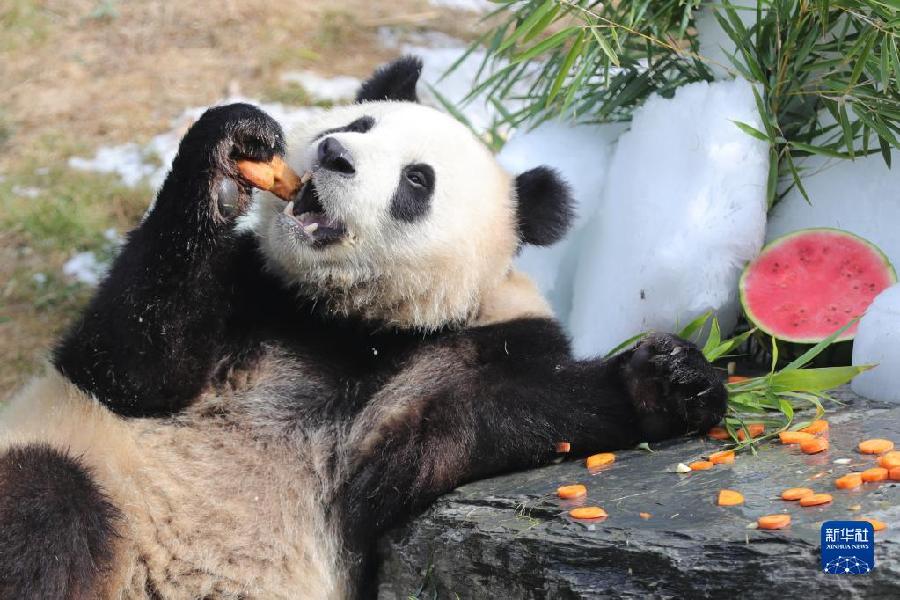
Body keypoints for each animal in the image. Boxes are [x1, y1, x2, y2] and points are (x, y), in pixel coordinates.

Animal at [0, 55, 724, 596]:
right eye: (360, 121)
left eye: (417, 181)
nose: (334, 155)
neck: (345, 320)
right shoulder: (252, 287)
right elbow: (128, 366)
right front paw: (230, 148)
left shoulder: (461, 352)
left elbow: (483, 420)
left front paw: (674, 381)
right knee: (46, 504)